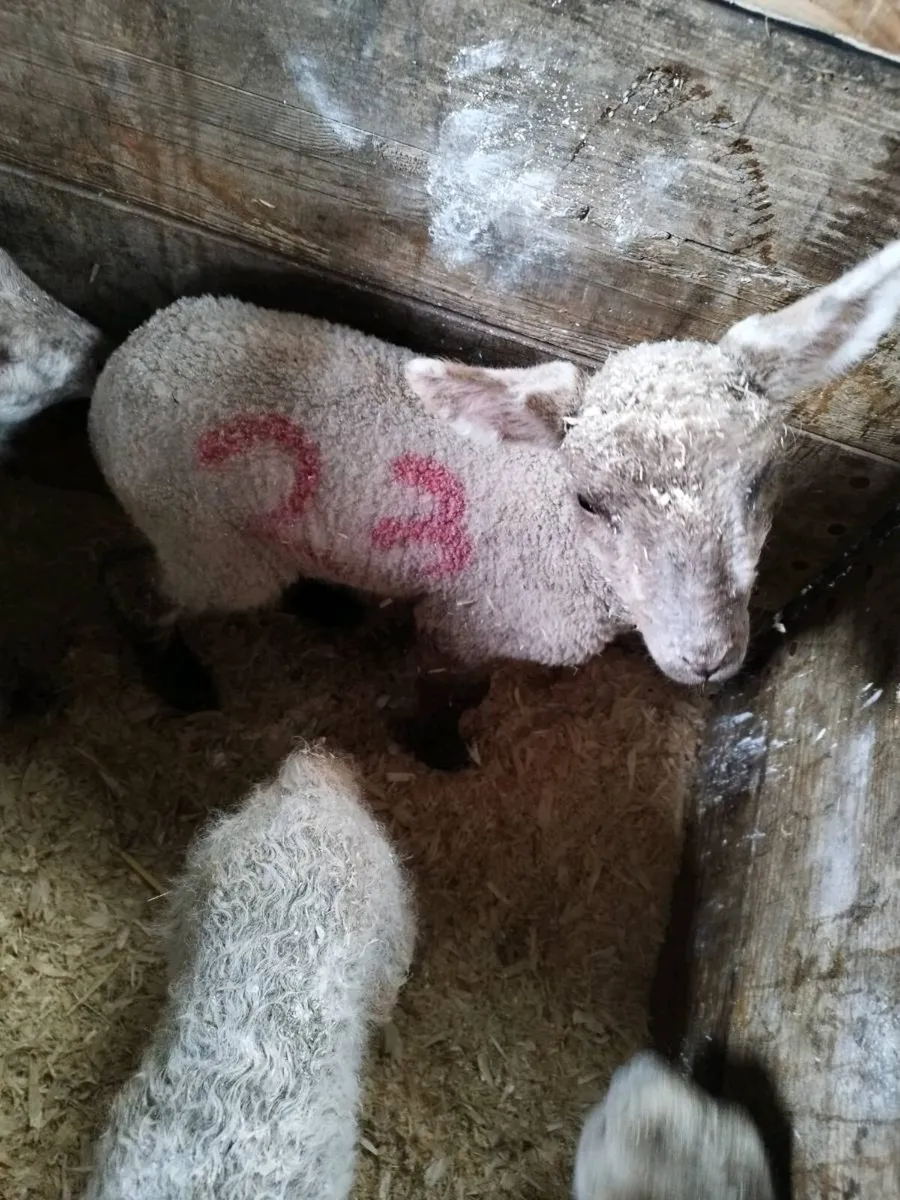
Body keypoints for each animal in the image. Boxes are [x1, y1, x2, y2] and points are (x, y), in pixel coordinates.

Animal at [88, 239, 900, 769]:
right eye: (588, 501)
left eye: (761, 480)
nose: (704, 659)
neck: (565, 550)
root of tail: (133, 353)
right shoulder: (468, 619)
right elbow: (455, 691)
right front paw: (438, 749)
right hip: (202, 538)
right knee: (135, 583)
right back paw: (178, 676)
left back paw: (326, 604)